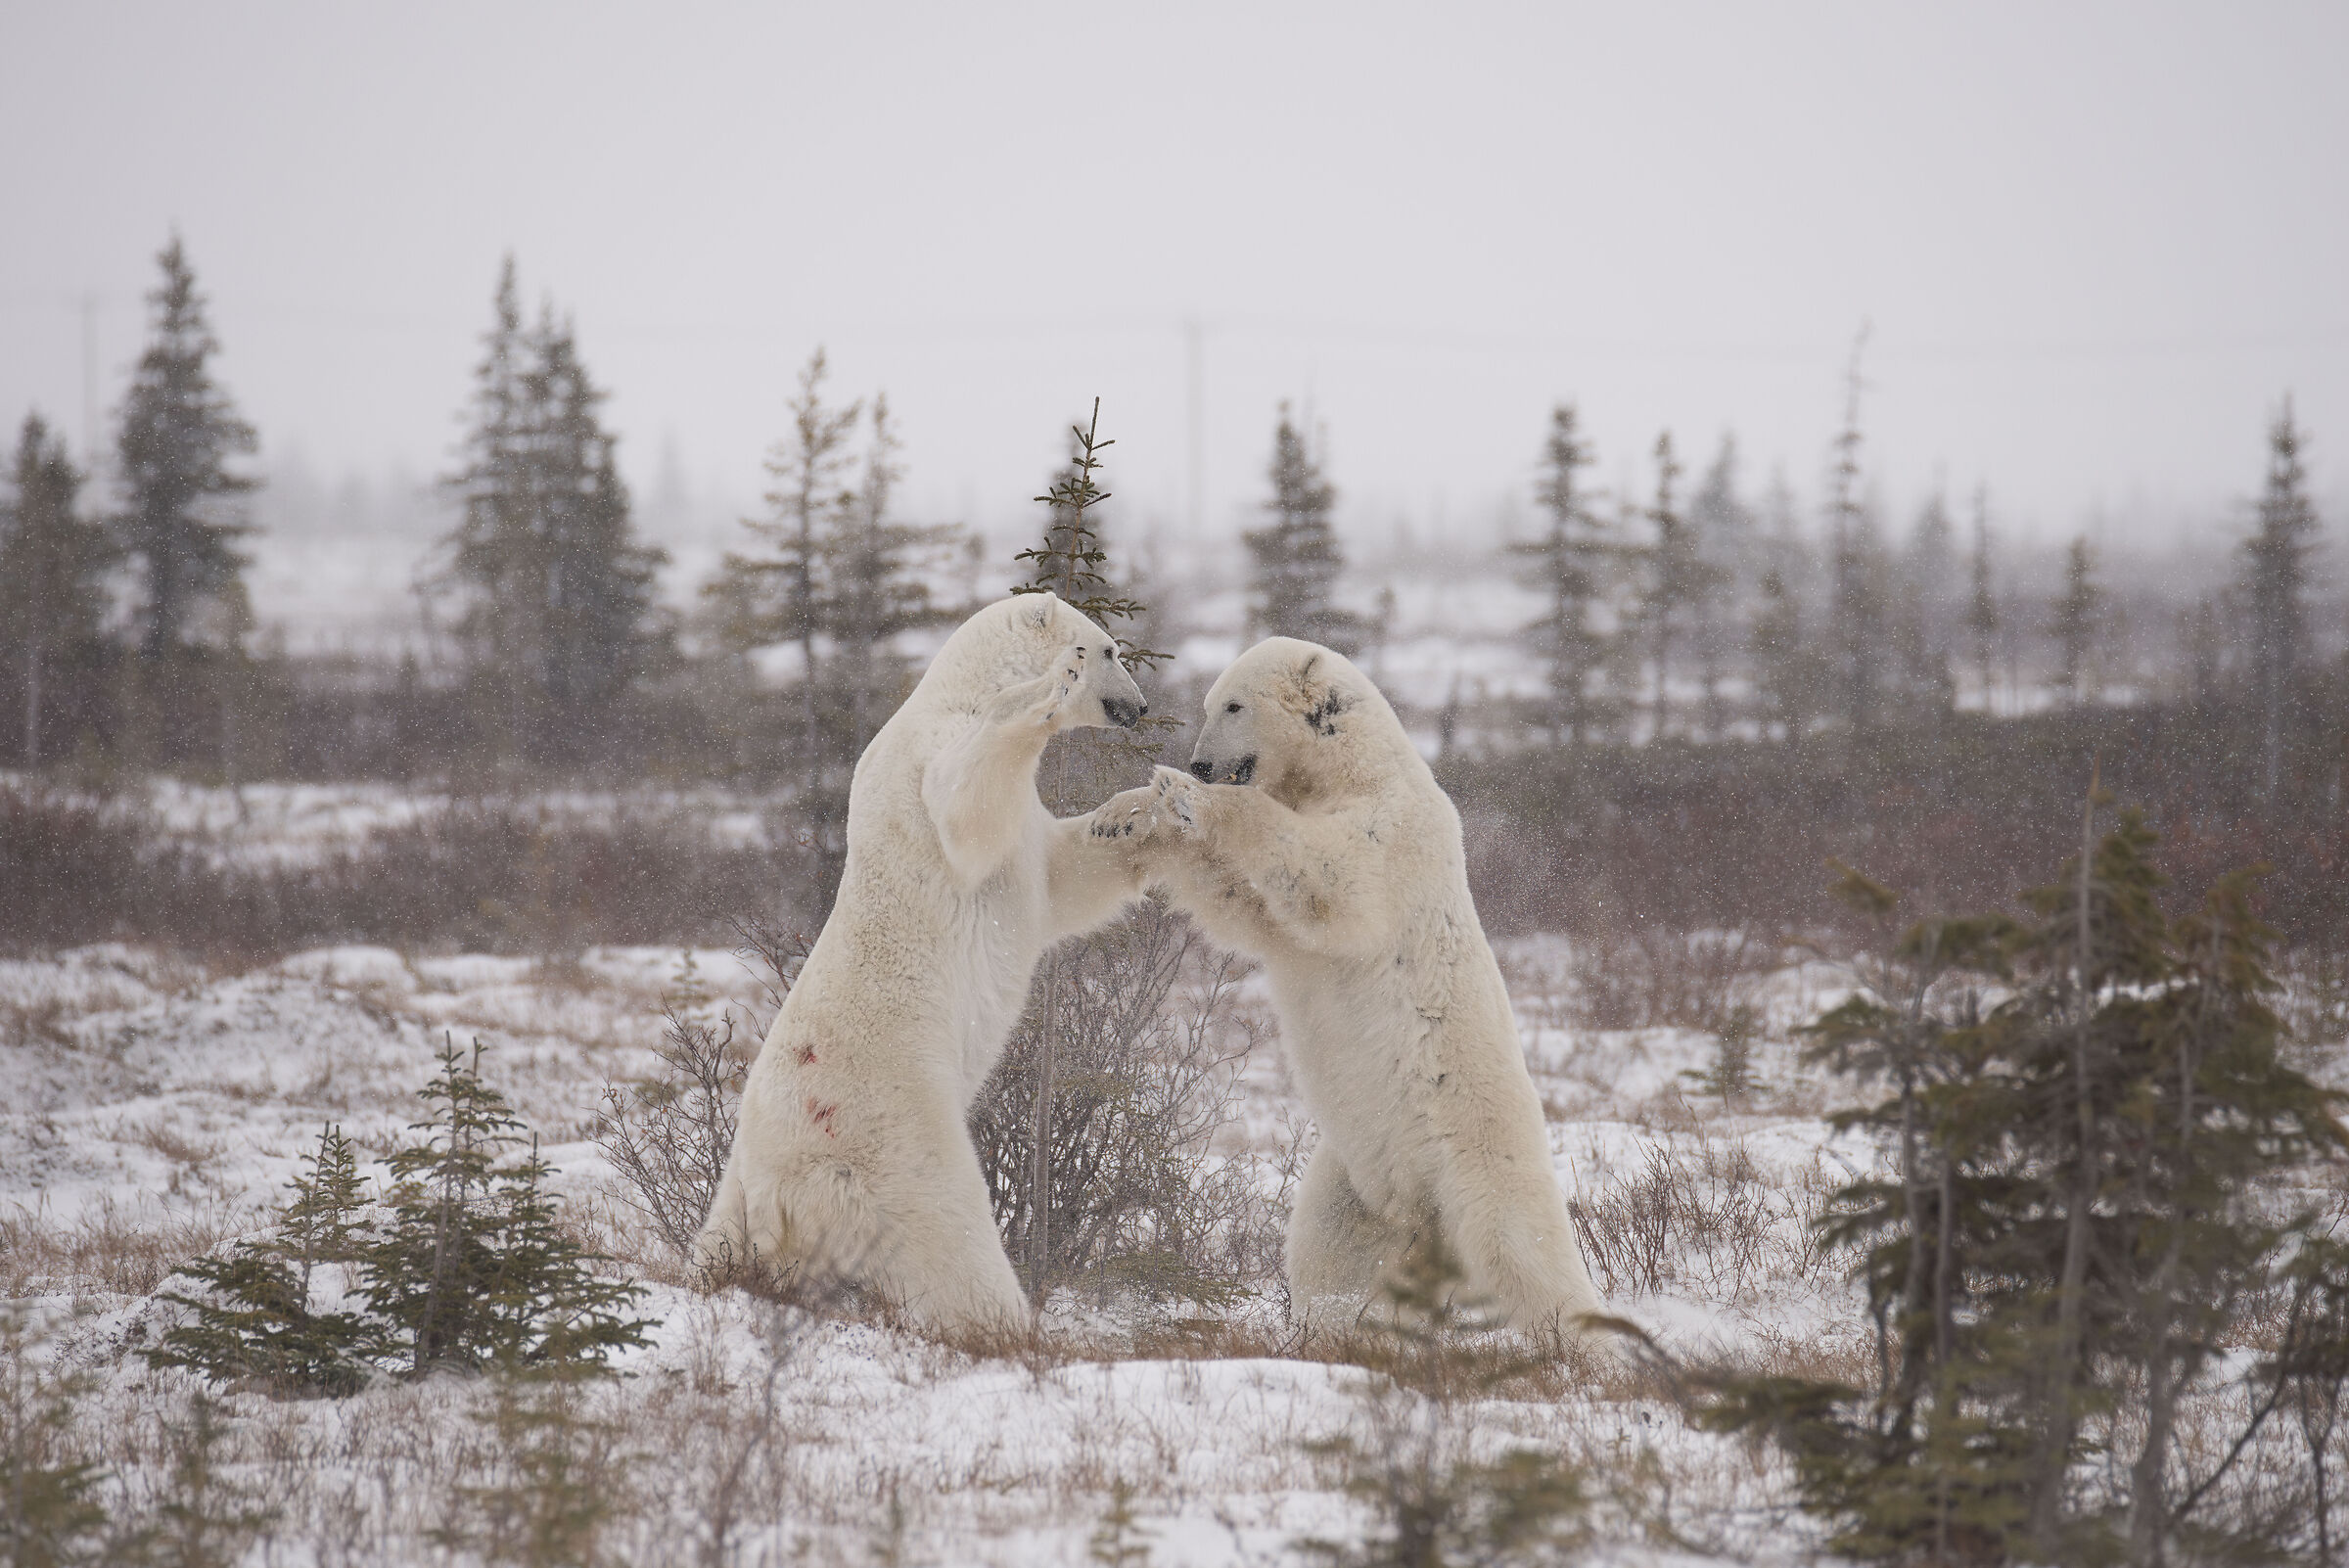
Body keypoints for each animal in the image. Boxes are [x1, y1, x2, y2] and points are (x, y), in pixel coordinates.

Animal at [696, 592, 1154, 1331]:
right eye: (1108, 649)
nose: (1138, 706)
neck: (959, 691)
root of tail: (772, 1188)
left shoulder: (1029, 833)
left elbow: (1065, 874)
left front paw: (1142, 813)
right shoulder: (931, 759)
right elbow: (967, 814)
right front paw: (1052, 688)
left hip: (739, 1184)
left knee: (718, 1235)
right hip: (889, 1130)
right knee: (949, 1236)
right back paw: (1007, 1325)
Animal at [1087, 636, 1603, 1337]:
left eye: (1233, 704)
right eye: (1211, 702)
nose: (1201, 761)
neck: (1351, 769)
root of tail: (1423, 1211)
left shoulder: (1392, 833)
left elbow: (1328, 876)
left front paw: (1184, 794)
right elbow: (1243, 904)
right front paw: (1120, 815)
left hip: (1479, 1157)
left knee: (1527, 1255)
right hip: (1357, 1177)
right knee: (1327, 1250)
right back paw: (1325, 1328)